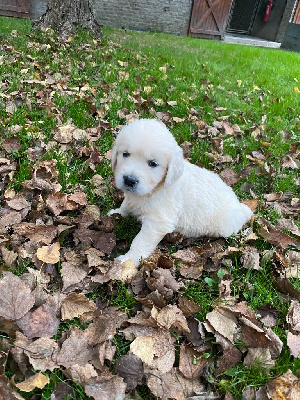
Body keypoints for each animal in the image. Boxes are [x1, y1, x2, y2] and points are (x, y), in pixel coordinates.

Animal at [109, 118, 252, 266]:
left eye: (153, 163)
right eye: (125, 154)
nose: (129, 180)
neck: (156, 189)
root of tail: (239, 206)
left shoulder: (157, 223)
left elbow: (140, 242)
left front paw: (128, 259)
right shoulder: (132, 199)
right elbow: (126, 205)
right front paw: (116, 213)